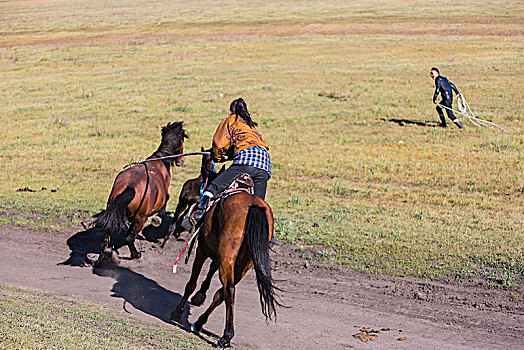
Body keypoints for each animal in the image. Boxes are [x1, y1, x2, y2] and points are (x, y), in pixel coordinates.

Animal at [94, 121, 188, 266]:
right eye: (182, 139)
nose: (181, 161)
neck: (160, 160)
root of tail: (130, 187)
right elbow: (165, 201)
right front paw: (158, 217)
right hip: (140, 219)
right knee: (129, 238)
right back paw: (136, 254)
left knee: (106, 239)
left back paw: (99, 261)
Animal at [170, 191, 280, 348]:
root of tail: (253, 204)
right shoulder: (218, 257)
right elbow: (212, 279)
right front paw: (200, 296)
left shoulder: (201, 251)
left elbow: (191, 284)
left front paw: (178, 311)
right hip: (242, 264)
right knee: (223, 292)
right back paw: (199, 323)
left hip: (226, 256)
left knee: (229, 290)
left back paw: (226, 336)